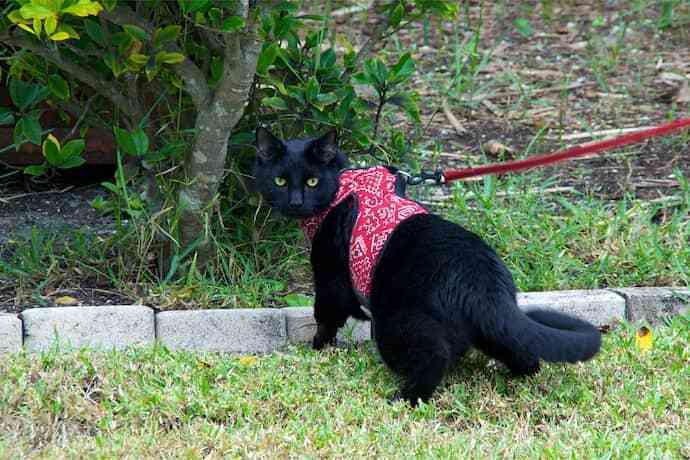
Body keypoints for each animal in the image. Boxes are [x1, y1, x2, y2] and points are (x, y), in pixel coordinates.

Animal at [251, 127, 596, 404]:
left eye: (312, 181)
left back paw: (403, 399)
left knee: (433, 358)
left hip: (398, 324)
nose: (296, 201)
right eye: (280, 180)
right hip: (492, 328)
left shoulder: (330, 276)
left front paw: (318, 347)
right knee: (524, 352)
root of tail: (482, 283)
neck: (341, 186)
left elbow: (326, 314)